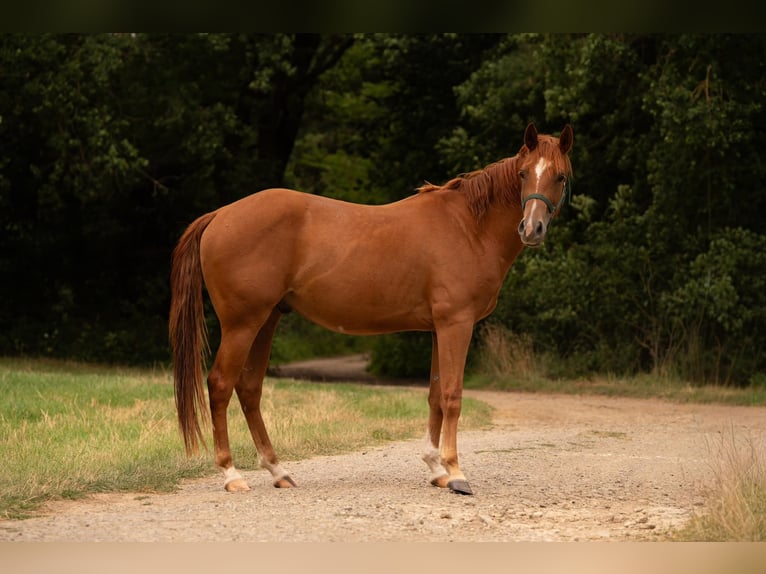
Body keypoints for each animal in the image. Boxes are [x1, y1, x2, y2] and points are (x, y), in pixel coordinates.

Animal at [170, 122, 573, 495]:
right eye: (523, 173)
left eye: (560, 176)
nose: (531, 229)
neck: (468, 227)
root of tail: (220, 215)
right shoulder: (456, 324)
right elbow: (452, 395)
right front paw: (456, 473)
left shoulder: (438, 329)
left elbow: (435, 396)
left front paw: (436, 470)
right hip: (242, 324)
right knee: (220, 385)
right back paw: (231, 475)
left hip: (266, 320)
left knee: (249, 388)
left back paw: (278, 471)